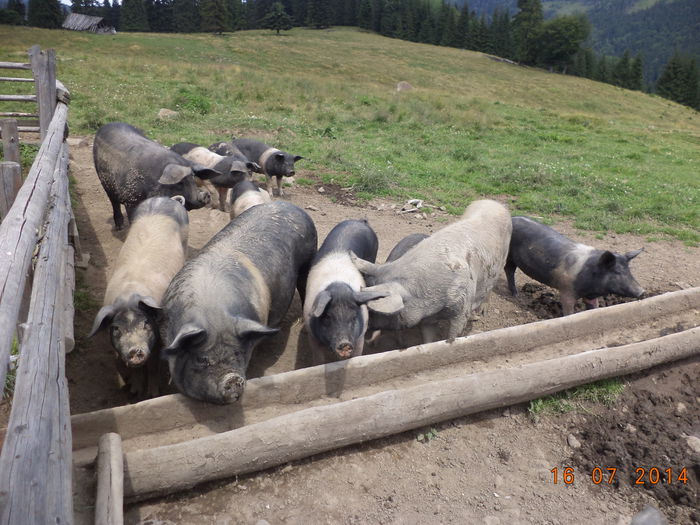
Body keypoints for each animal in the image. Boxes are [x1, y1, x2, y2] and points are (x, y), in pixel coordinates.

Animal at [160, 202, 316, 406]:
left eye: (237, 353)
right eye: (201, 359)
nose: (233, 379)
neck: (213, 314)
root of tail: (291, 206)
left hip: (309, 258)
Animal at [302, 219, 386, 362]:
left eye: (353, 317)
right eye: (328, 317)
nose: (345, 343)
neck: (339, 287)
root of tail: (360, 221)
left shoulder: (360, 338)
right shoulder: (312, 337)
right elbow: (318, 360)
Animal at [352, 199, 512, 342]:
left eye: (373, 311)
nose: (365, 328)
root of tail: (494, 202)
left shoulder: (462, 306)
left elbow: (454, 333)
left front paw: (450, 341)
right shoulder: (427, 318)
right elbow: (427, 338)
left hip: (502, 260)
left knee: (490, 288)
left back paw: (481, 313)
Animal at [504, 215, 644, 314]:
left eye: (629, 271)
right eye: (617, 272)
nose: (642, 291)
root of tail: (512, 218)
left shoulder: (590, 296)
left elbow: (594, 307)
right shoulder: (566, 289)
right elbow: (569, 311)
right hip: (509, 255)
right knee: (509, 270)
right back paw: (516, 295)